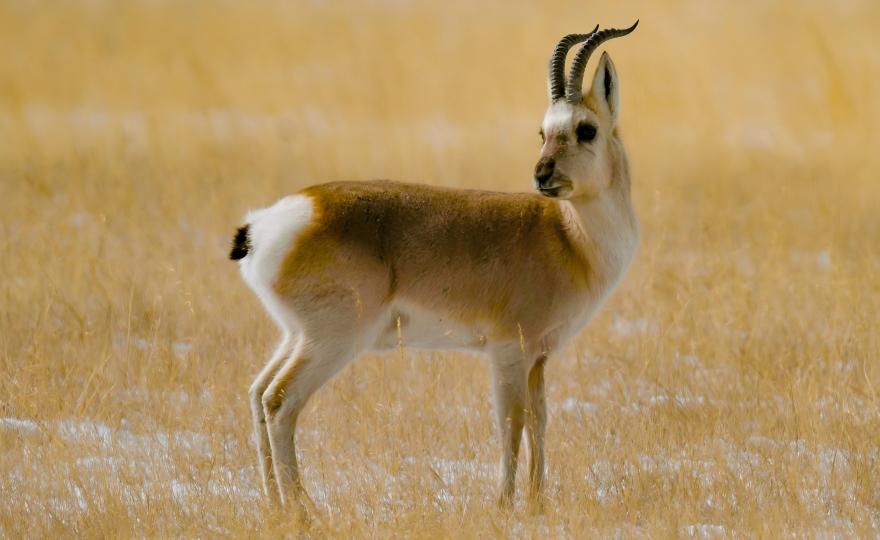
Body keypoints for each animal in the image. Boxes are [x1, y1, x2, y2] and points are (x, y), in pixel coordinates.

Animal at [232, 22, 640, 511]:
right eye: (543, 131)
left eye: (586, 129)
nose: (542, 175)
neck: (565, 235)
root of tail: (266, 223)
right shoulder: (508, 352)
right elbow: (511, 425)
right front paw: (504, 506)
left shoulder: (538, 358)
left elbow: (539, 423)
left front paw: (538, 504)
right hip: (333, 341)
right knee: (279, 401)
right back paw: (304, 511)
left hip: (296, 336)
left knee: (258, 394)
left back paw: (276, 506)